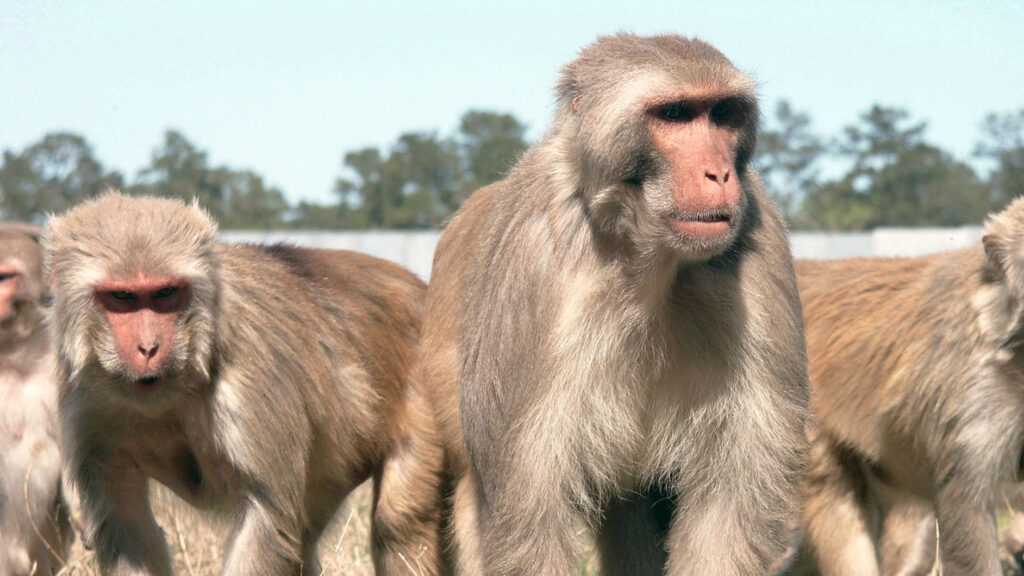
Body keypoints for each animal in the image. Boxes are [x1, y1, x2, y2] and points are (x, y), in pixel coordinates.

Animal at [43, 192, 443, 576]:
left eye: (164, 294)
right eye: (122, 298)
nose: (148, 347)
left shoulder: (250, 379)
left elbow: (266, 517)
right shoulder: (88, 398)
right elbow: (125, 524)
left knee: (398, 523)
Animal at [416, 34, 809, 575]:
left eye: (723, 114)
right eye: (674, 114)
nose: (720, 173)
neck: (646, 257)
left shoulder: (759, 237)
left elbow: (732, 502)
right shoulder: (534, 262)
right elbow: (530, 512)